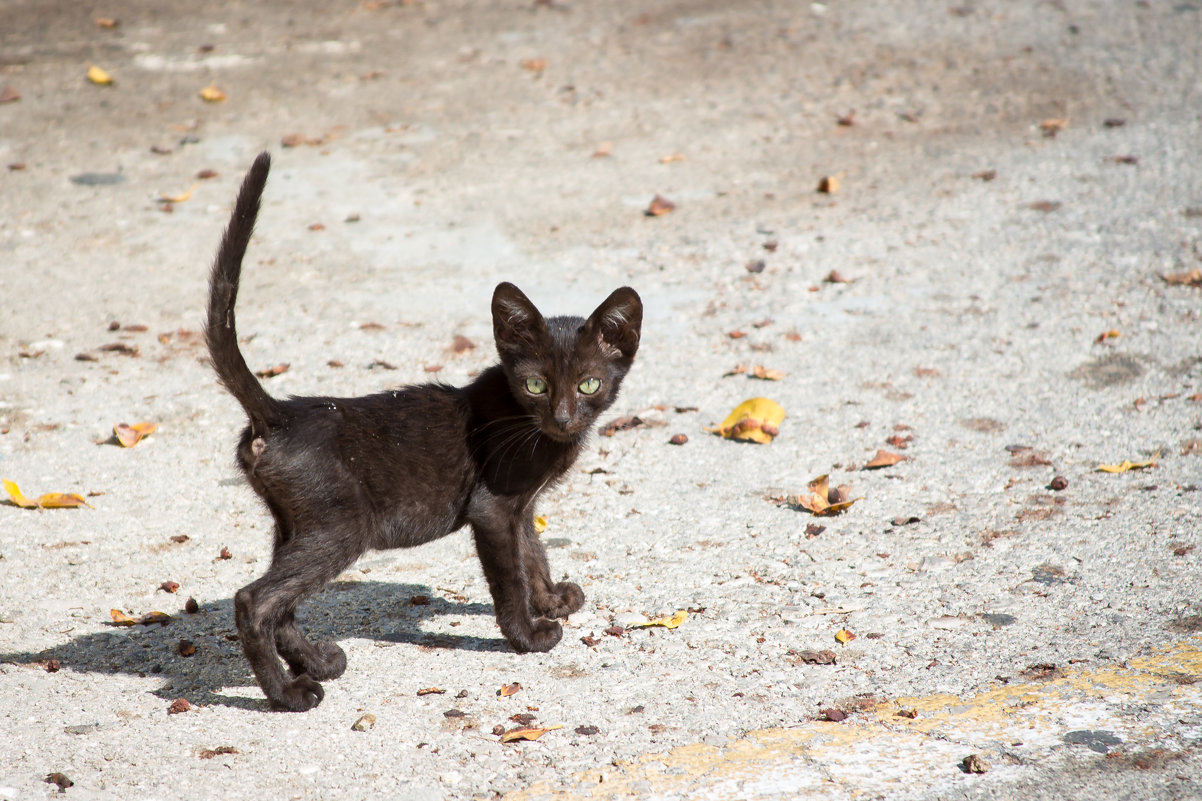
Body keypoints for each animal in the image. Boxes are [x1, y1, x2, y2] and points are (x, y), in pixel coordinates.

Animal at [203, 152, 644, 707]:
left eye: (588, 384)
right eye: (536, 385)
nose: (562, 419)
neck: (533, 428)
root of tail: (280, 412)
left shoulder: (521, 505)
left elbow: (533, 552)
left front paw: (552, 599)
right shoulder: (492, 508)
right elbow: (509, 577)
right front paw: (527, 635)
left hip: (294, 523)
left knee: (281, 603)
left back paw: (320, 662)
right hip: (341, 526)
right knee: (255, 600)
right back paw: (288, 694)